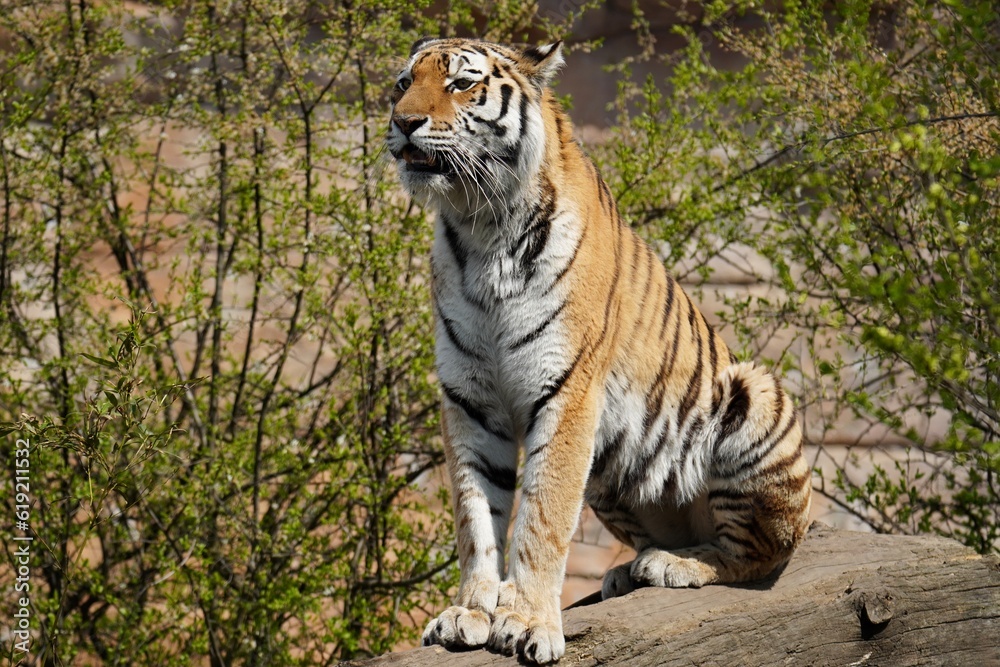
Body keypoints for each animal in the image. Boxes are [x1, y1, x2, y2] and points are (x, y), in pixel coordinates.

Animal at [386, 37, 813, 664]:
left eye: (461, 84)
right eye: (402, 84)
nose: (403, 122)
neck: (480, 227)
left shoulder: (565, 391)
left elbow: (541, 516)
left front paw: (526, 620)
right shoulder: (469, 398)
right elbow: (475, 515)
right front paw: (469, 611)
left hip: (756, 396)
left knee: (757, 556)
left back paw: (674, 564)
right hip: (611, 470)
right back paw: (627, 572)